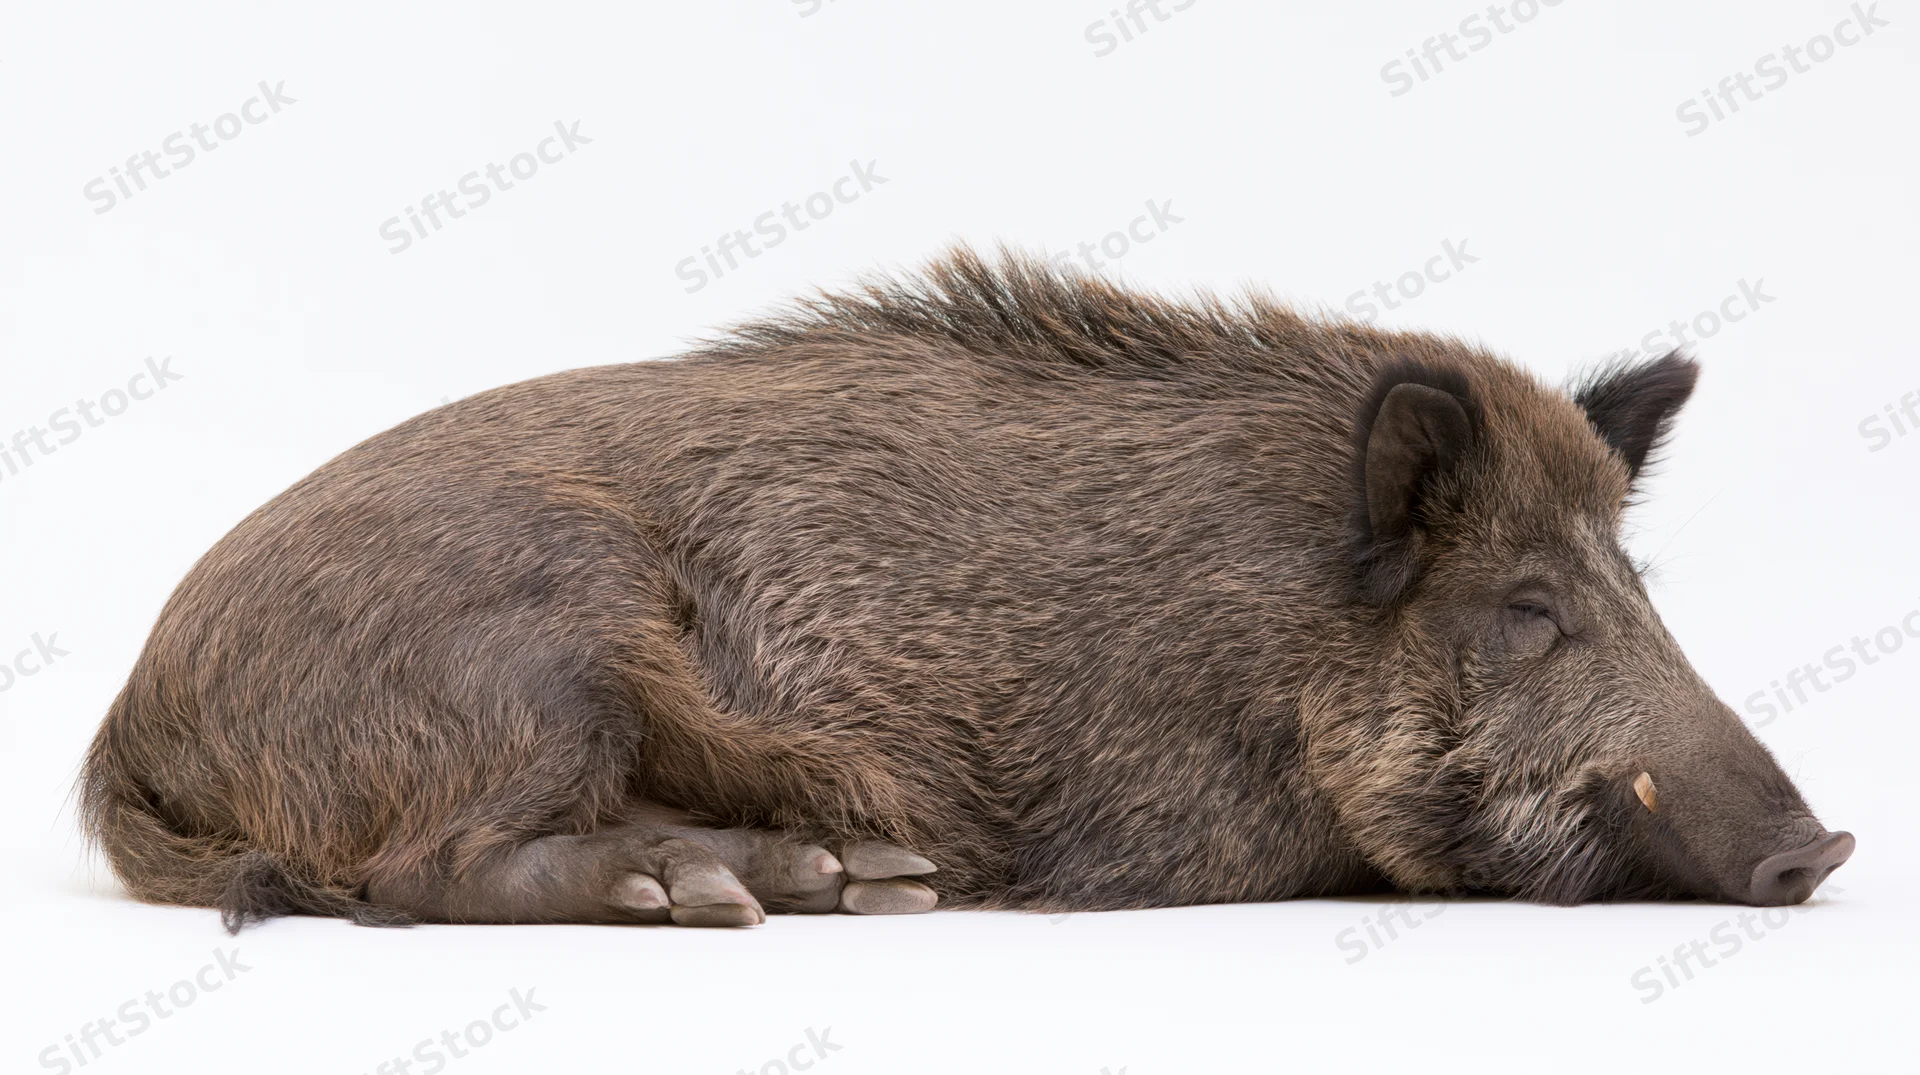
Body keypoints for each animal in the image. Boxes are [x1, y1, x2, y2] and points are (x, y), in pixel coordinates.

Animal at [80, 247, 1853, 931]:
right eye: (1532, 607)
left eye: (1639, 579)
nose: (1826, 844)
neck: (1280, 634)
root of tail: (133, 708)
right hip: (536, 646)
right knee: (422, 866)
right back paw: (745, 888)